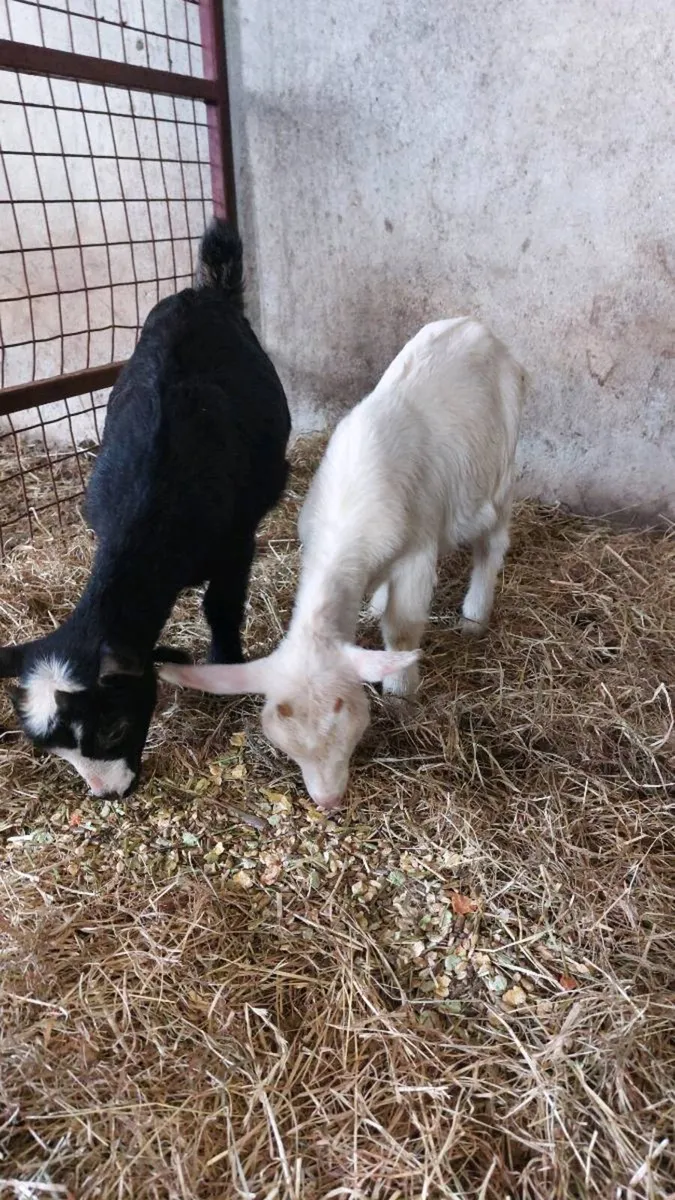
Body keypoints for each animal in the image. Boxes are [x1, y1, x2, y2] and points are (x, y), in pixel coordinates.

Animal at [0, 219, 291, 797]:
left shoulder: (235, 540)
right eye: (53, 751)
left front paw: (225, 665)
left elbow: (221, 606)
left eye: (114, 726)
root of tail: (202, 292)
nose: (110, 793)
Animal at [160, 317, 525, 811]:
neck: (345, 526)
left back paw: (474, 616)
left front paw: (401, 696)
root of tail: (474, 325)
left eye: (345, 711)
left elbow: (403, 628)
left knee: (492, 543)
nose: (328, 800)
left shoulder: (418, 553)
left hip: (501, 468)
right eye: (286, 744)